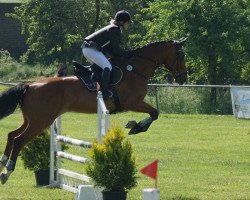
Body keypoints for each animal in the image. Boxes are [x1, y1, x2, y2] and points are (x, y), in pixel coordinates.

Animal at [0, 38, 188, 184]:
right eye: (181, 55)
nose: (183, 79)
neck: (136, 68)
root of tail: (29, 86)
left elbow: (154, 113)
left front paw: (135, 125)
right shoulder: (132, 102)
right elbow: (155, 113)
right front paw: (136, 127)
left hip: (33, 120)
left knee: (11, 134)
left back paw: (3, 162)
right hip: (41, 121)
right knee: (18, 140)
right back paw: (7, 171)